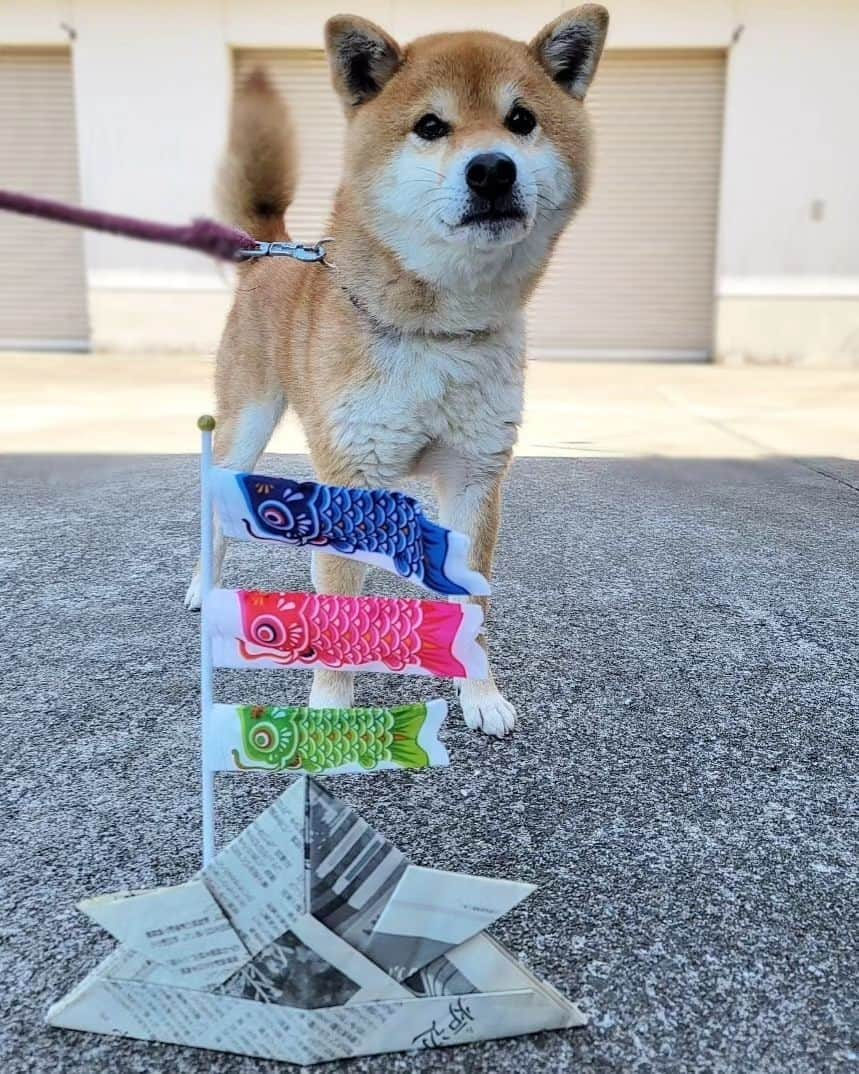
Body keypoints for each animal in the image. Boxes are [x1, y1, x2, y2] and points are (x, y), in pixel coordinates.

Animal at [184, 6, 605, 738]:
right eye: (431, 126)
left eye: (521, 119)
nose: (490, 170)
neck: (436, 331)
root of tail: (271, 250)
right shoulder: (348, 474)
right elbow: (338, 613)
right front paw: (329, 717)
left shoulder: (475, 476)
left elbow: (472, 607)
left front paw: (479, 692)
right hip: (245, 425)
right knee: (214, 506)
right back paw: (198, 586)